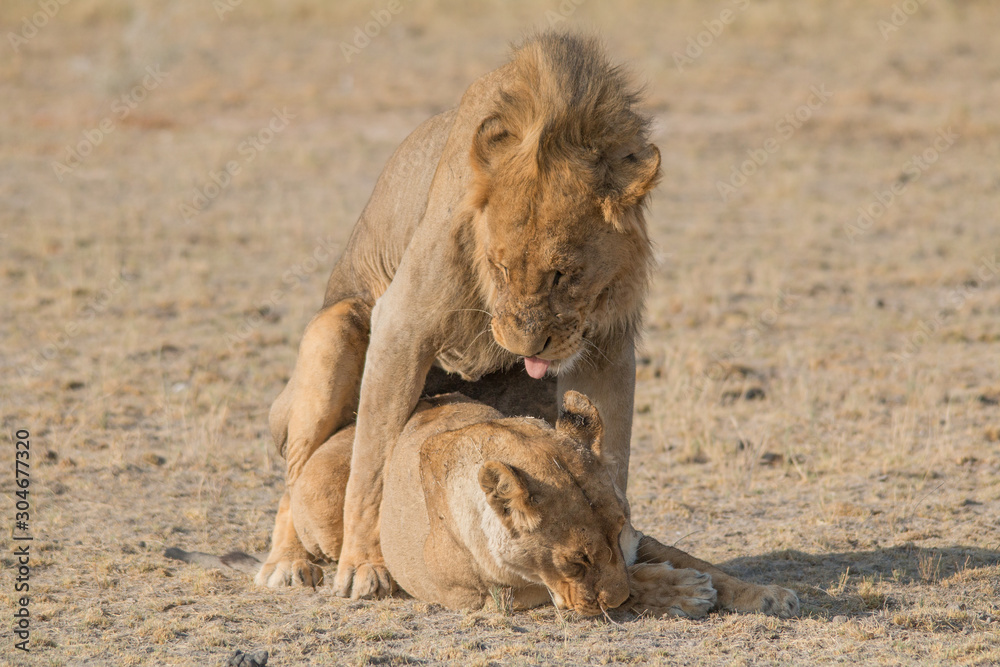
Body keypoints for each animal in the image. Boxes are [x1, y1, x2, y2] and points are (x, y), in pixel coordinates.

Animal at [256, 392, 796, 620]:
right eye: (575, 562)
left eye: (620, 535)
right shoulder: (495, 595)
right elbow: (624, 589)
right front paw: (683, 590)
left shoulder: (639, 540)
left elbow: (702, 563)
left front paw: (767, 594)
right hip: (329, 496)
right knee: (288, 493)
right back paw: (289, 566)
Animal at [270, 32, 664, 600]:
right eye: (499, 266)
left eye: (563, 275)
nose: (525, 347)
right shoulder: (403, 321)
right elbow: (371, 467)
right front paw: (365, 567)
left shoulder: (607, 345)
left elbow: (612, 449)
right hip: (337, 326)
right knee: (295, 474)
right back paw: (286, 563)